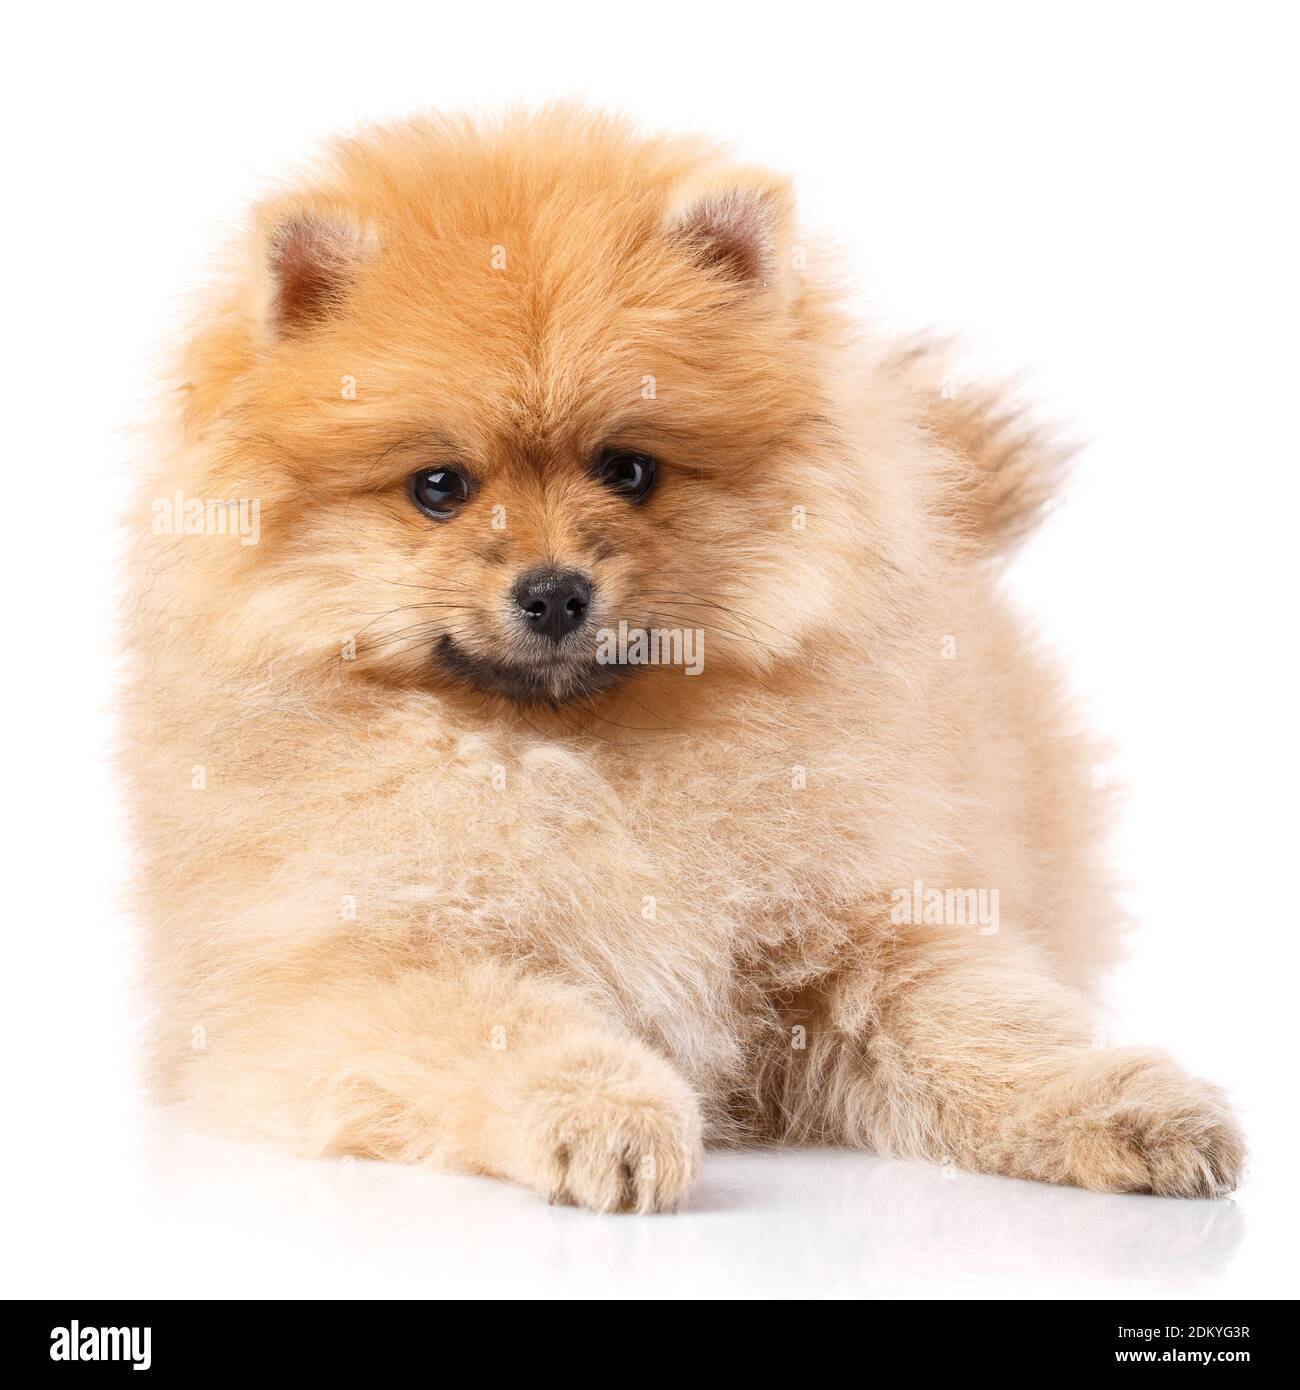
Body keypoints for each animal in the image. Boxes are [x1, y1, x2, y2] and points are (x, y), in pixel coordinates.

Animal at [127, 108, 1245, 1212]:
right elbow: (503, 1025)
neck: (583, 756)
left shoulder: (854, 932)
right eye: (439, 487)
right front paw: (607, 1115)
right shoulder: (357, 964)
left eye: (629, 470)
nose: (553, 591)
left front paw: (1124, 1106)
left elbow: (985, 1026)